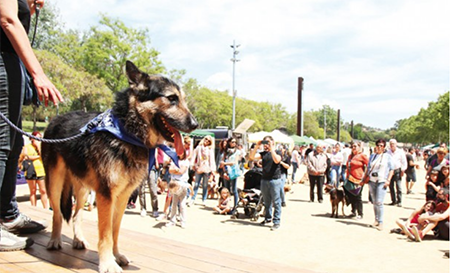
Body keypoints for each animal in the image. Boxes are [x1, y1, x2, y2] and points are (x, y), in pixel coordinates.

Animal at [40, 61, 199, 272]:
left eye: (183, 100)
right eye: (172, 98)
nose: (196, 124)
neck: (128, 132)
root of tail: (56, 118)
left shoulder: (123, 196)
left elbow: (115, 230)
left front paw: (116, 256)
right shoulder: (106, 195)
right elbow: (106, 234)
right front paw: (107, 263)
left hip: (81, 189)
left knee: (76, 215)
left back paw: (78, 239)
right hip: (55, 183)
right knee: (57, 213)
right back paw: (55, 240)